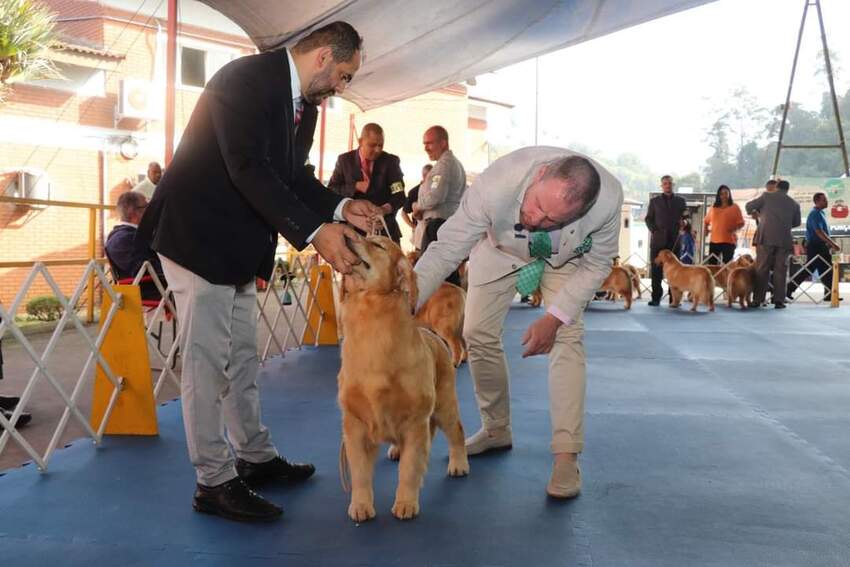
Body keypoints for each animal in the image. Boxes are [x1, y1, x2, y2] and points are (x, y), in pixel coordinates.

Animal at [336, 236, 468, 524]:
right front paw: (360, 505)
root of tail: (433, 337)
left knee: (457, 431)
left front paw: (406, 503)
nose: (347, 236)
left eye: (378, 245)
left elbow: (409, 469)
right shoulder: (355, 424)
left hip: (444, 404)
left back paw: (459, 463)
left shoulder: (415, 420)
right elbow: (360, 474)